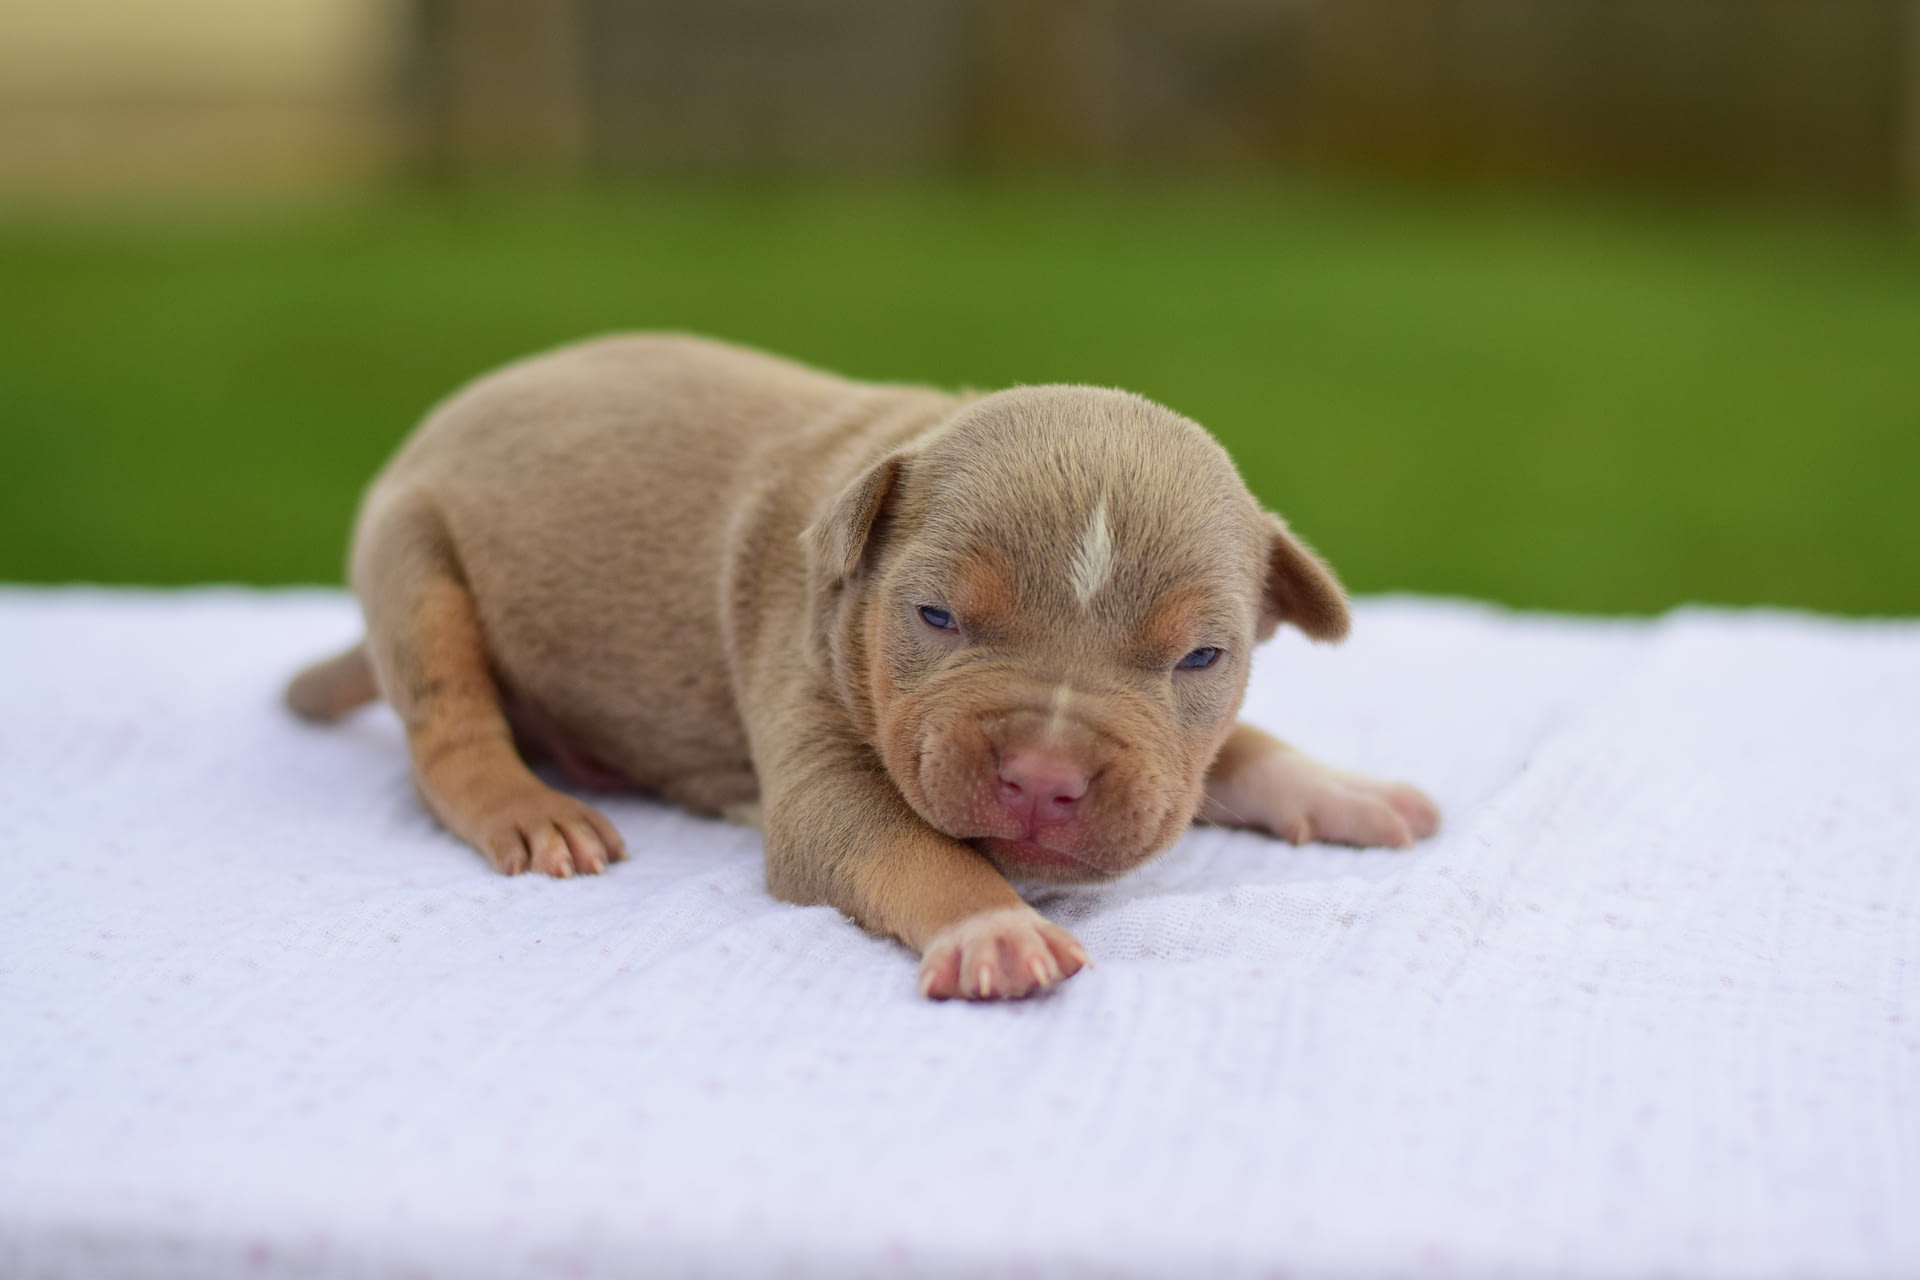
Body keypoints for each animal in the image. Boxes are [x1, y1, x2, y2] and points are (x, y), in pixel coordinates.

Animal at [288, 335, 1443, 1005]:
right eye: (934, 614)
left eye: (1203, 654)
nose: (1044, 777)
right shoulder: (813, 751)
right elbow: (906, 844)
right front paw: (994, 925)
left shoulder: (1179, 749)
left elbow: (1233, 748)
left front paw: (1344, 788)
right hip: (415, 559)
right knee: (447, 731)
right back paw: (532, 808)